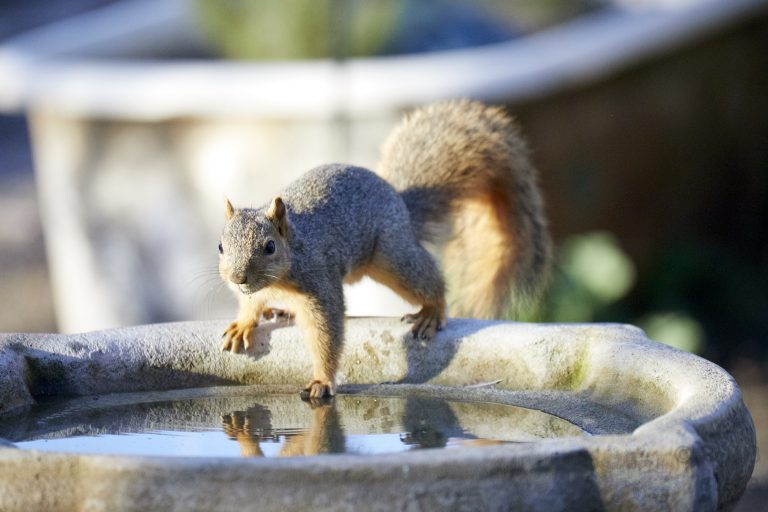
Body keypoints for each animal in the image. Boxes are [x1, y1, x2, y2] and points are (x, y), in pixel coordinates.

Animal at [218, 99, 551, 399]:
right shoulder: (256, 292)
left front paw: (322, 380)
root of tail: (399, 202)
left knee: (426, 279)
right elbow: (249, 305)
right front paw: (243, 324)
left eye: (270, 247)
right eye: (221, 246)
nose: (237, 278)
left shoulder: (319, 284)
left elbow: (327, 334)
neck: (280, 277)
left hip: (392, 257)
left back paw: (431, 311)